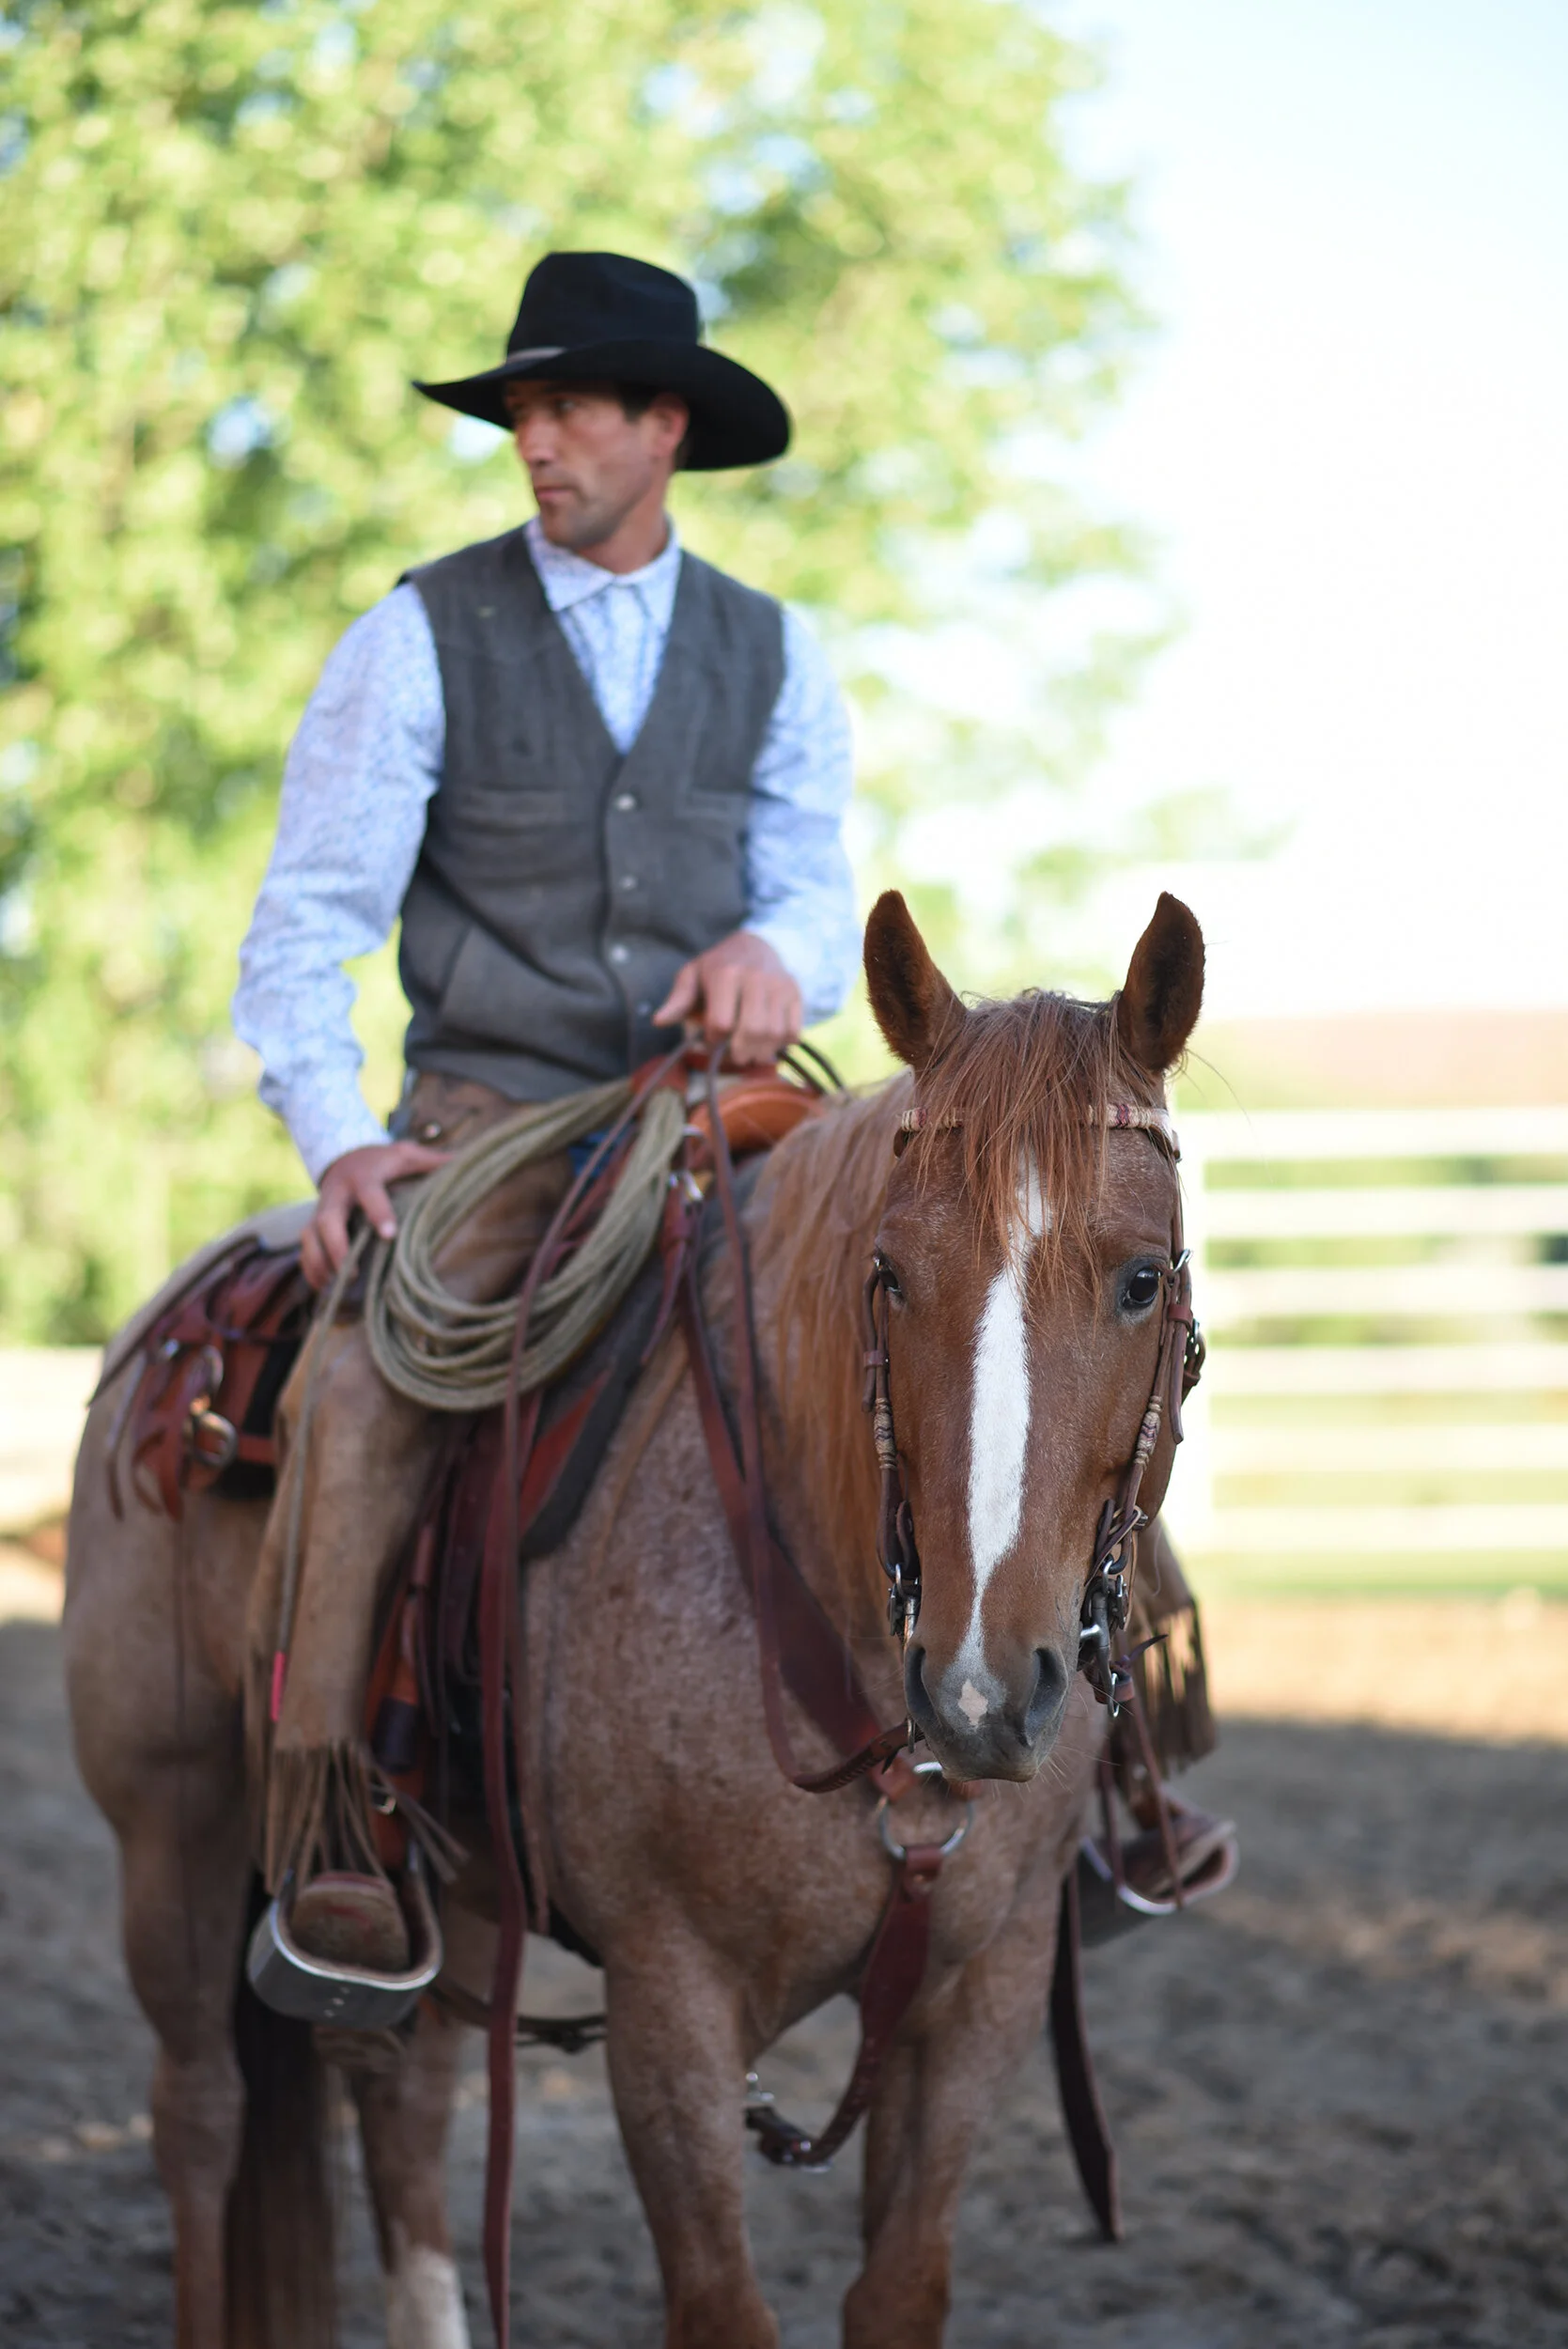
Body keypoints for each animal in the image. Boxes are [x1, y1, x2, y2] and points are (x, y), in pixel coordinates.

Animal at [63, 885, 1206, 2349]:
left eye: (1142, 1277)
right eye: (890, 1272)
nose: (983, 1692)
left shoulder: (981, 1998)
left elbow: (900, 2285)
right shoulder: (671, 2005)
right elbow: (718, 2304)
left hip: (455, 1871)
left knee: (405, 2103)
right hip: (177, 1821)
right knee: (201, 2113)